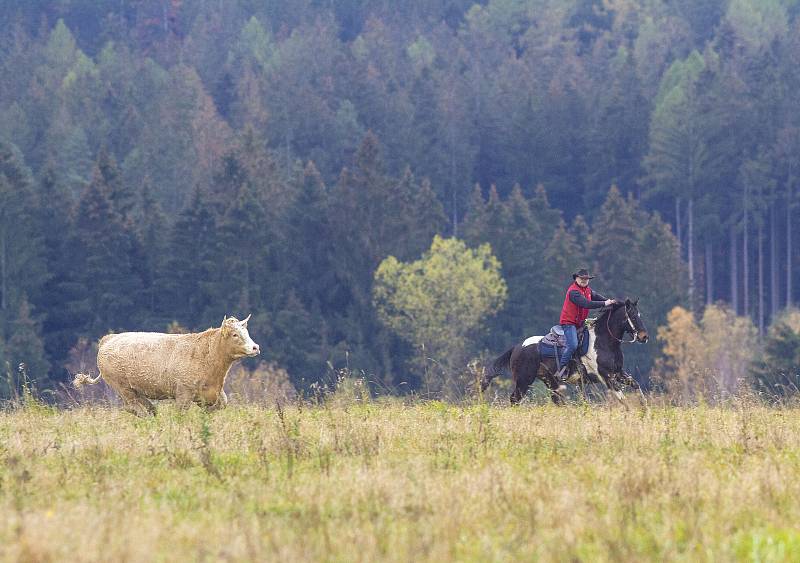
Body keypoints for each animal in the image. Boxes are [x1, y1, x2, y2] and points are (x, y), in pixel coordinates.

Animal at [482, 300, 648, 406]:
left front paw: (644, 409)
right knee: (515, 399)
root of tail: (517, 347)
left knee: (556, 400)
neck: (603, 341)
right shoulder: (607, 377)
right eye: (633, 317)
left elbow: (636, 386)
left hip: (549, 381)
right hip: (524, 380)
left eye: (640, 315)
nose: (644, 337)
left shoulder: (618, 373)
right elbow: (623, 400)